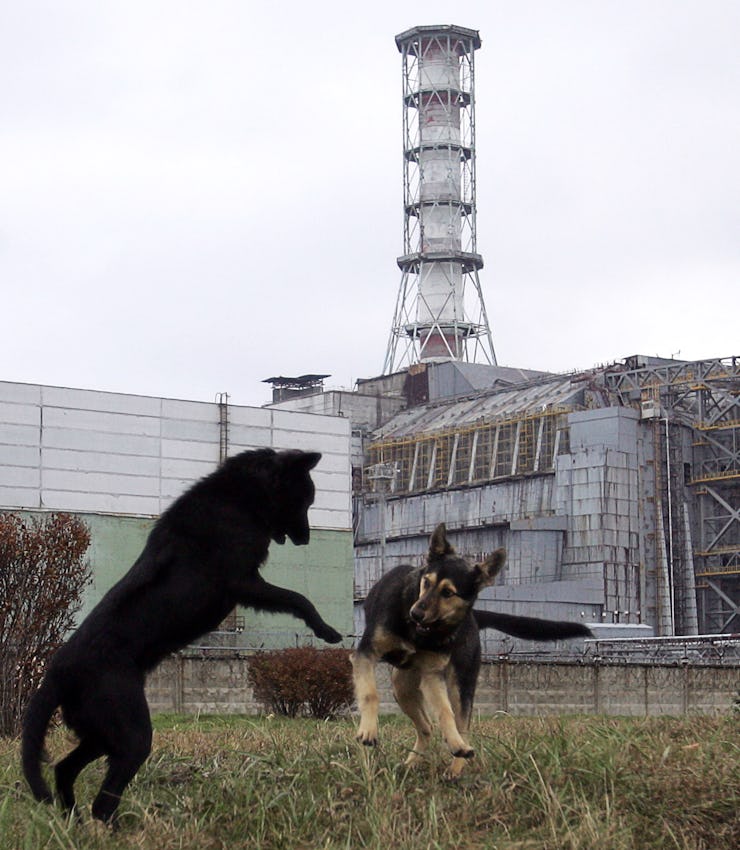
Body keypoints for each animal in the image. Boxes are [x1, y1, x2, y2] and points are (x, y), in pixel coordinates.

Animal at [21, 448, 342, 824]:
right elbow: (298, 598)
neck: (240, 498)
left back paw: (75, 822)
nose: (306, 538)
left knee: (63, 769)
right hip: (131, 733)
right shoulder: (244, 582)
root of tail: (57, 672)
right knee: (103, 800)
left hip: (99, 734)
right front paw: (326, 630)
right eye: (305, 500)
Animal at [350, 520, 592, 780]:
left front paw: (455, 744)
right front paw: (368, 731)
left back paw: (456, 760)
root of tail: (474, 618)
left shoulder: (432, 674)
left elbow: (446, 712)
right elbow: (370, 693)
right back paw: (412, 763)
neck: (421, 632)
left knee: (459, 723)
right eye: (427, 582)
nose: (415, 613)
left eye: (448, 592)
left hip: (460, 681)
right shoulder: (365, 655)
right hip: (402, 685)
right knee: (427, 727)